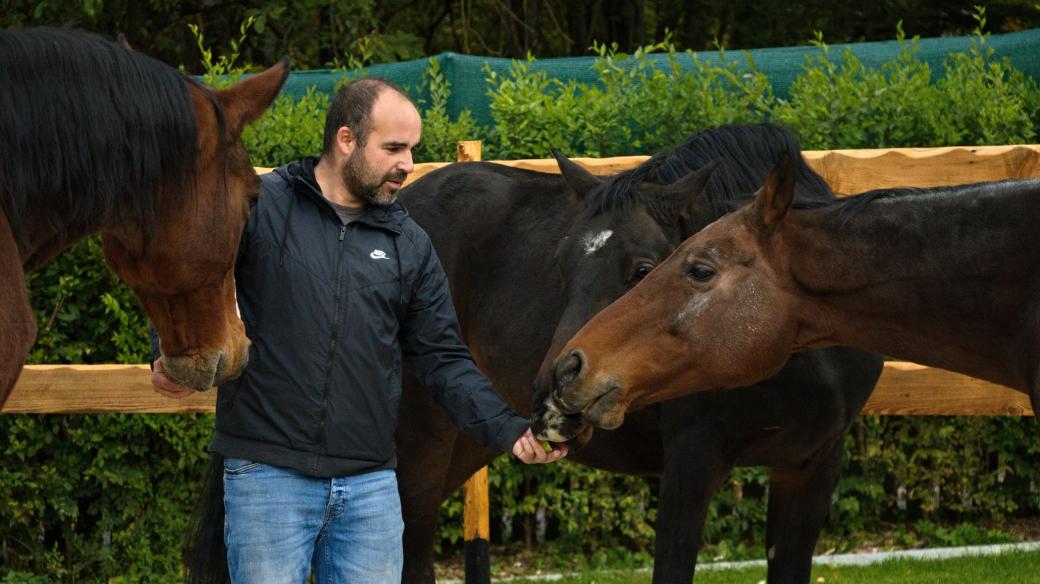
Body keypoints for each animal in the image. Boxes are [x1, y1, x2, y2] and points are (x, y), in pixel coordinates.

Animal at [393, 123, 881, 581]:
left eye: (645, 270)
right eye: (561, 265)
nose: (554, 394)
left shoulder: (812, 466)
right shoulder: (690, 464)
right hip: (419, 444)